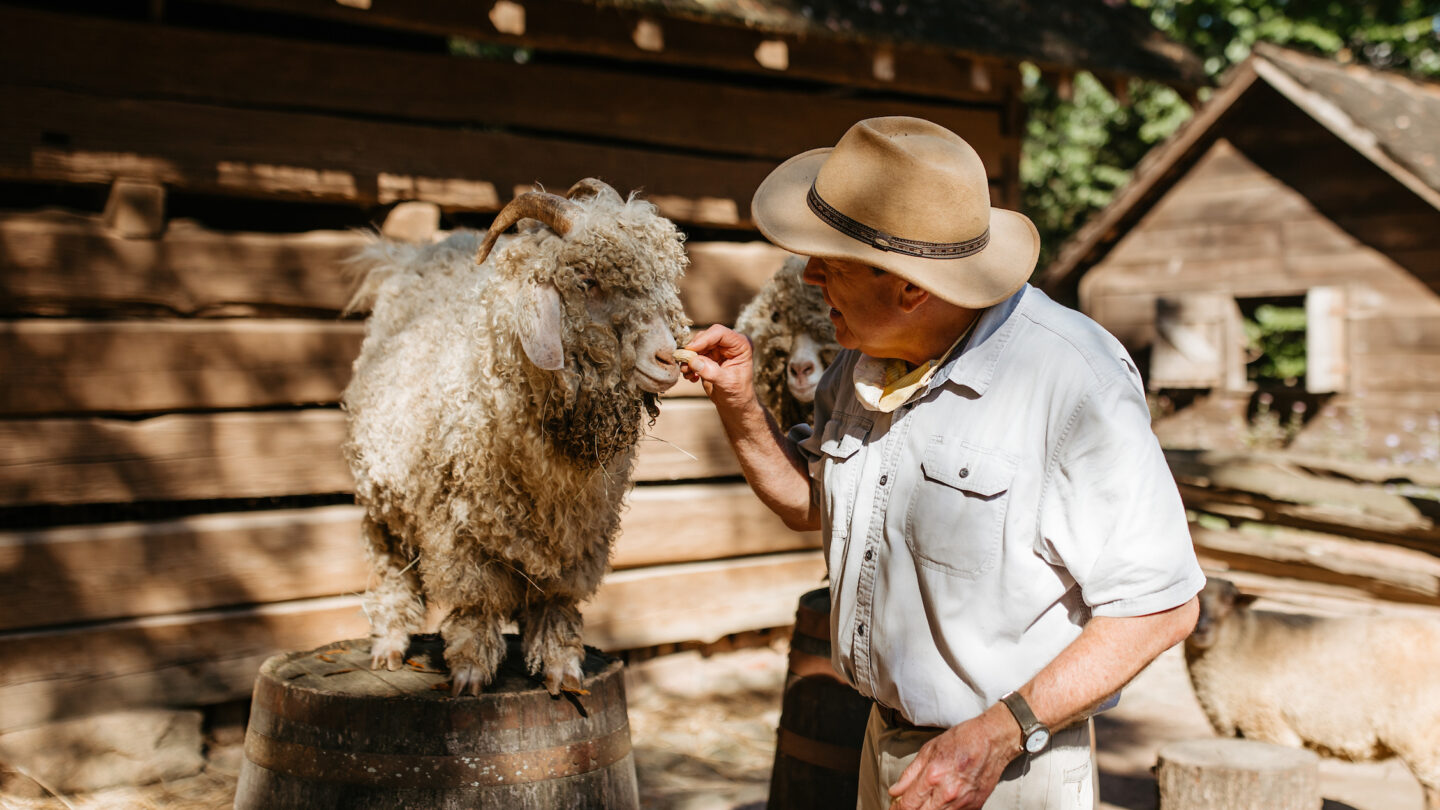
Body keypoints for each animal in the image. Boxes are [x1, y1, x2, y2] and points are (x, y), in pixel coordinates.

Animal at [342, 181, 691, 694]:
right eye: (588, 281)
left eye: (665, 280)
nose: (667, 359)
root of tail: (410, 256)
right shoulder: (458, 527)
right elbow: (476, 602)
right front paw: (469, 673)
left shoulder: (580, 536)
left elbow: (556, 603)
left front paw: (562, 671)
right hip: (381, 500)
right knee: (393, 572)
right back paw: (388, 646)